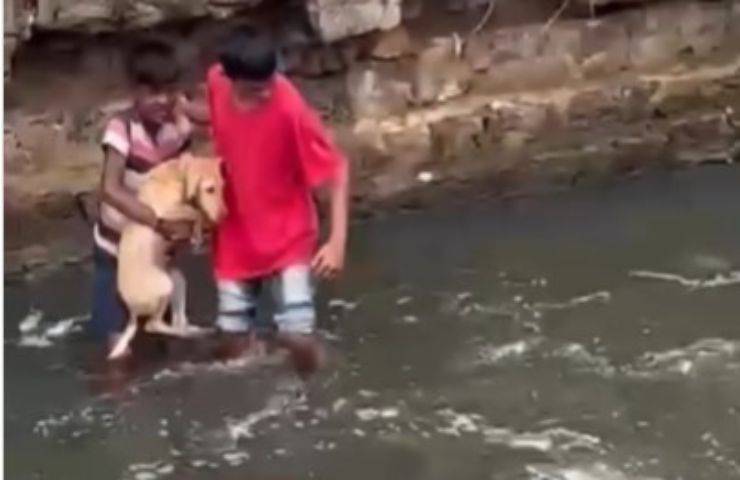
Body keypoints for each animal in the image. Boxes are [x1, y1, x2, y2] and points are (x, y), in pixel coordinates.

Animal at [108, 154, 225, 360]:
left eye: (223, 187)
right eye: (210, 189)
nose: (225, 215)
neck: (177, 175)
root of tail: (132, 313)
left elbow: (196, 211)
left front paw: (198, 235)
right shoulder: (167, 212)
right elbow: (195, 212)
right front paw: (199, 230)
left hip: (177, 280)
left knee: (178, 320)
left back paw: (195, 330)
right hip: (164, 286)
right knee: (153, 325)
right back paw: (184, 333)